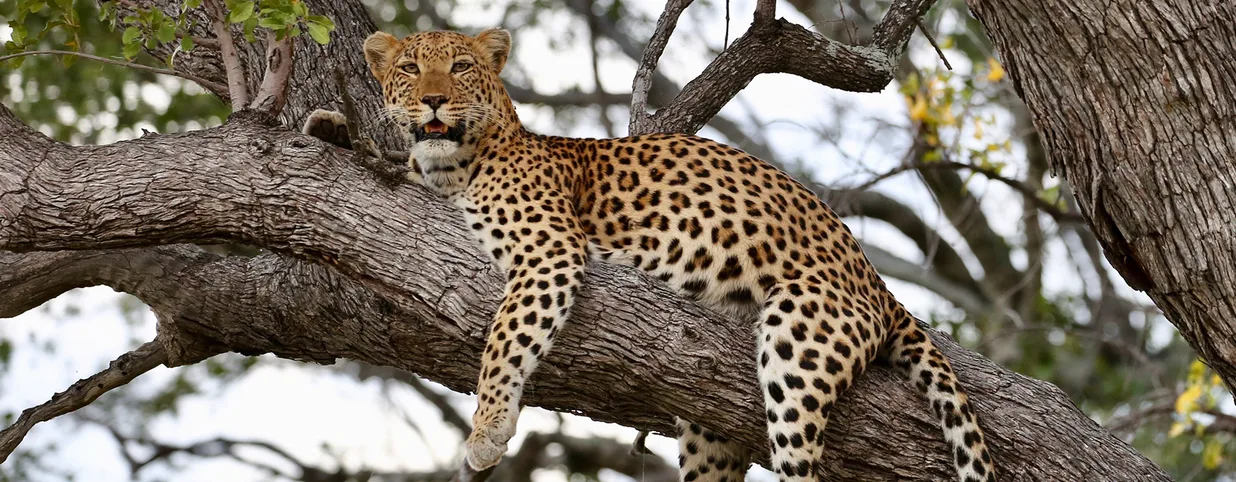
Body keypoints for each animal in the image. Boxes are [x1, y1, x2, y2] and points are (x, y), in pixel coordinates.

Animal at [302, 27, 996, 482]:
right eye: (410, 68)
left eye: (464, 67)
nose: (435, 100)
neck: (457, 167)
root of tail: (879, 283)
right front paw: (329, 126)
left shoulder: (550, 250)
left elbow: (505, 339)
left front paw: (488, 429)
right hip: (713, 425)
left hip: (800, 340)